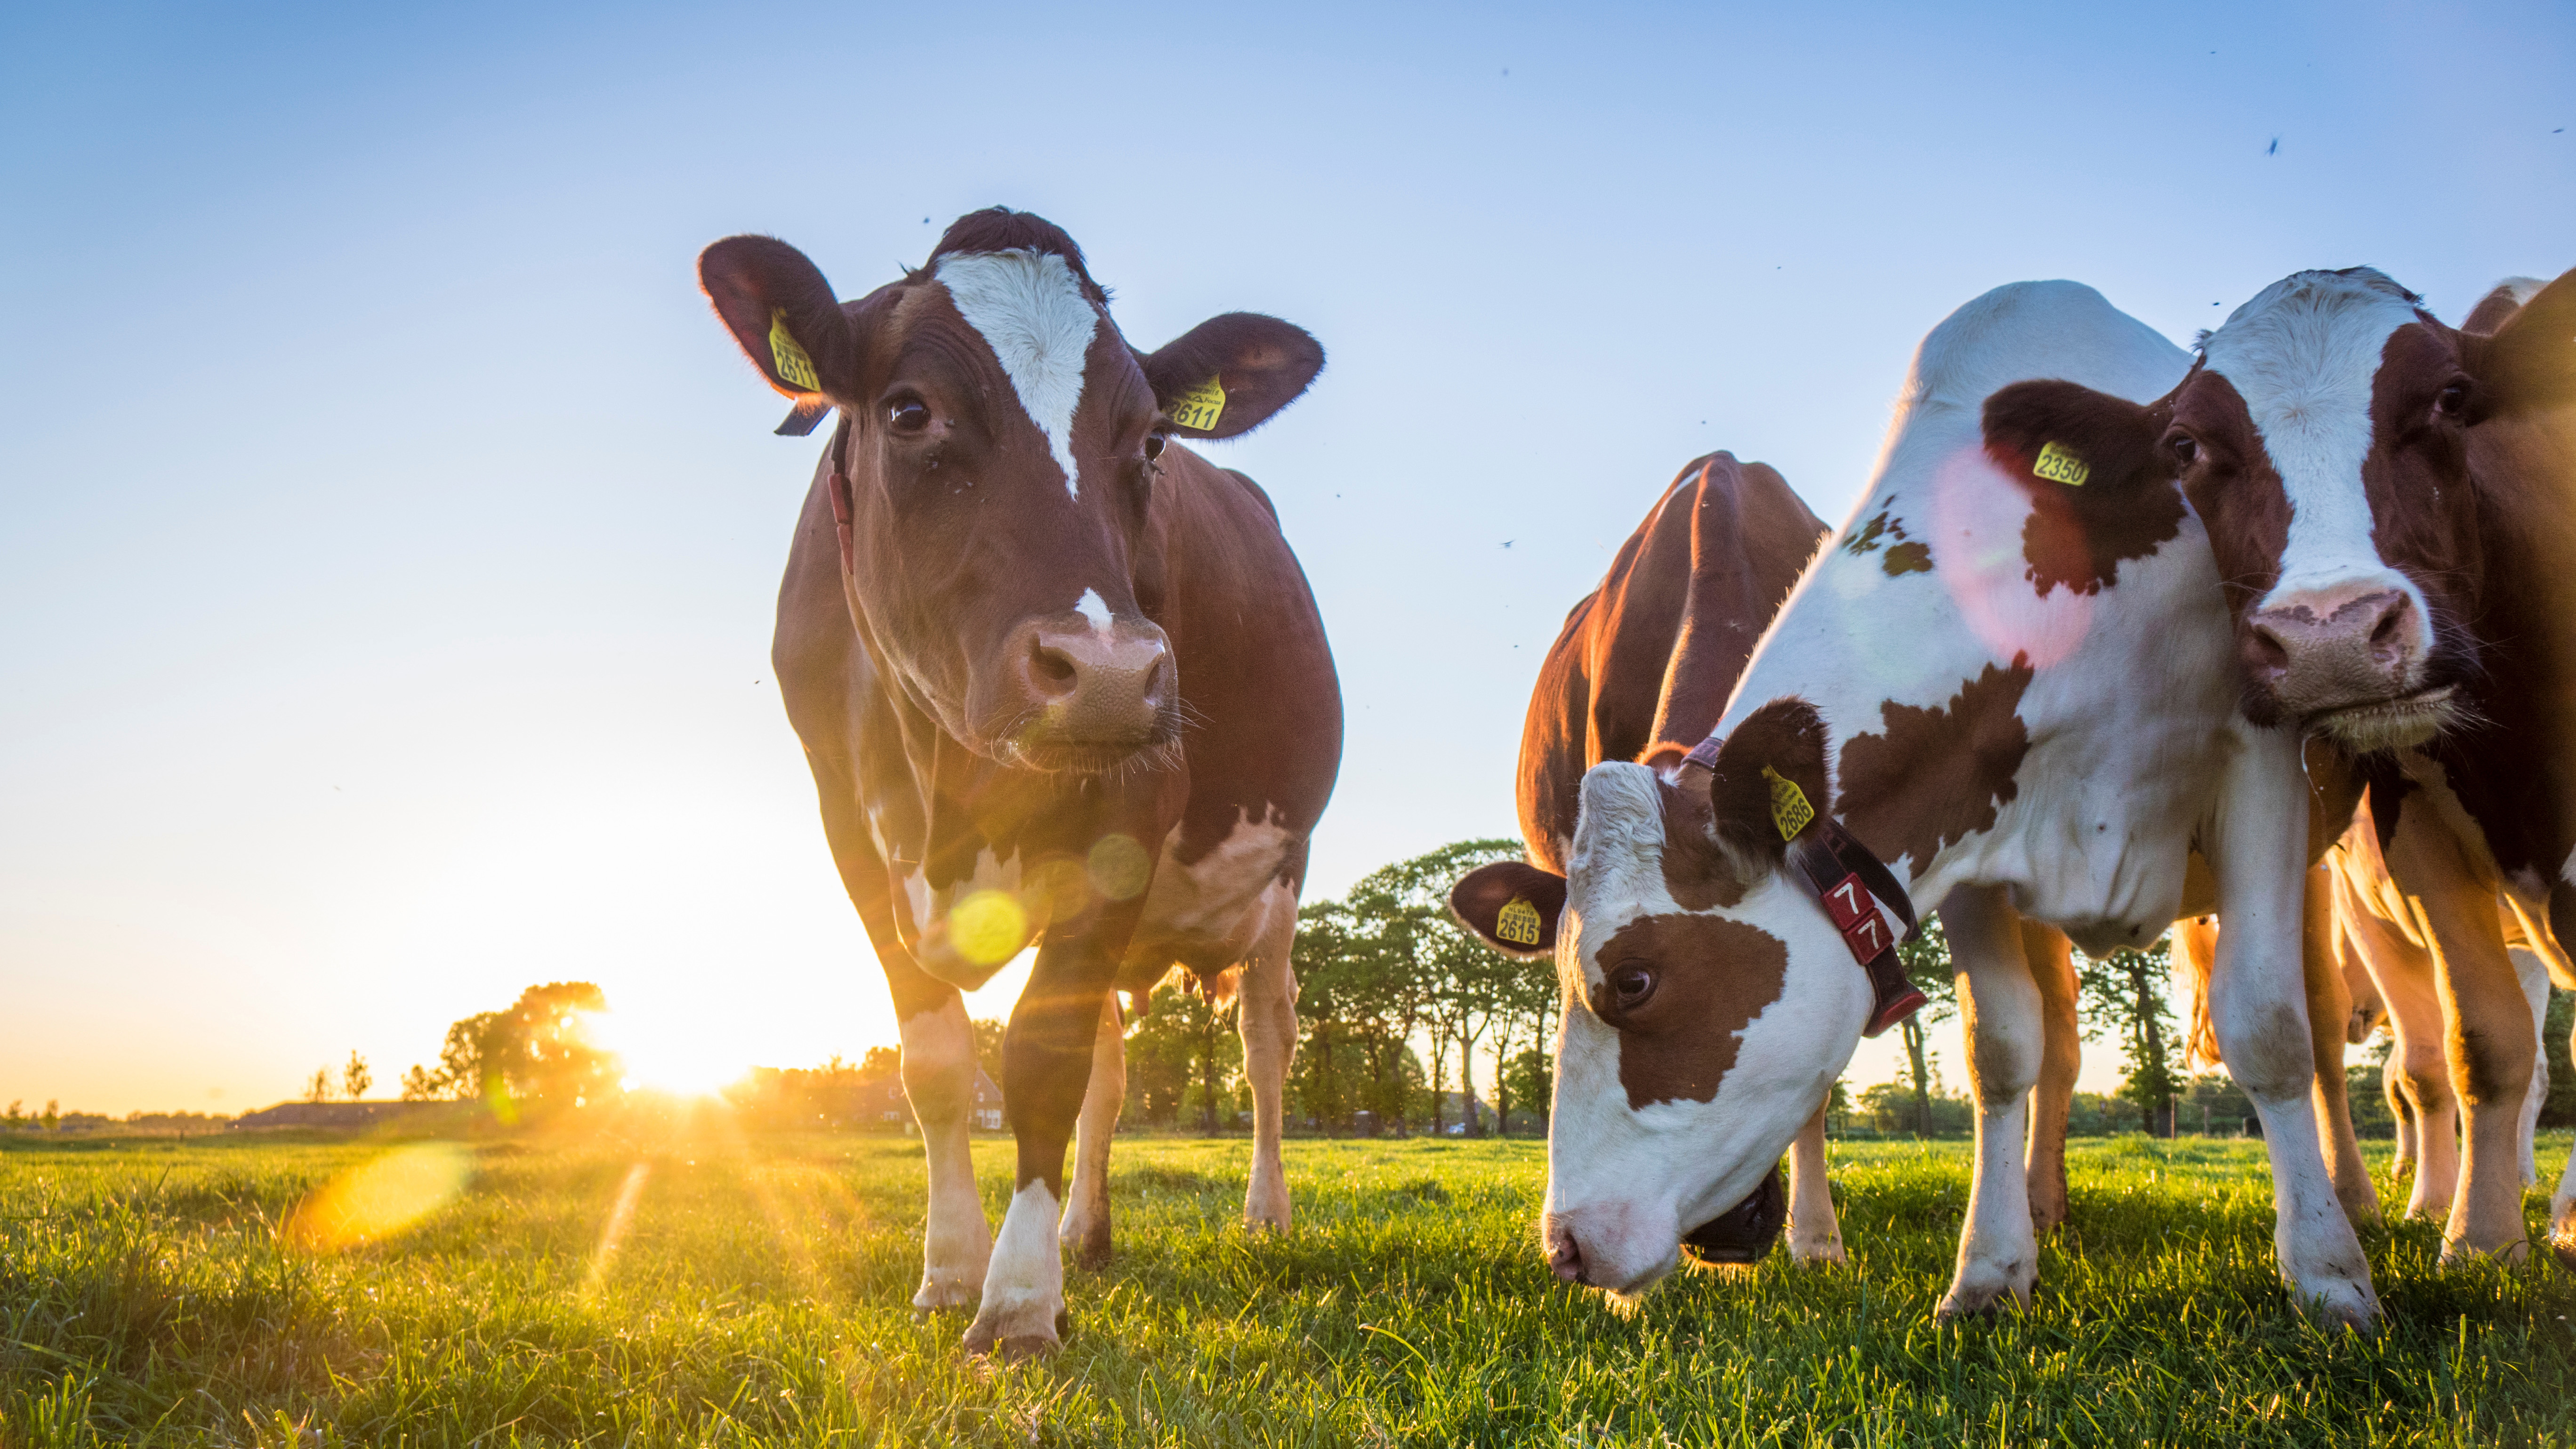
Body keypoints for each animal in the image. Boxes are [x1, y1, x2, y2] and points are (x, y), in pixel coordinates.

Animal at [697, 209, 1341, 1356]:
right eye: (910, 409)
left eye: (1154, 440)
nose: (1111, 672)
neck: (948, 777)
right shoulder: (848, 831)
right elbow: (939, 1064)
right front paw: (951, 1271)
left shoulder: (1135, 807)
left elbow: (1042, 1058)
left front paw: (1018, 1304)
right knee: (1115, 1067)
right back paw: (1088, 1230)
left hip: (1279, 875)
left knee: (1266, 1043)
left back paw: (1264, 1216)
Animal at [1453, 280, 2383, 1326]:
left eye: (1636, 980)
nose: (1566, 1246)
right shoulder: (1972, 830)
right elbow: (2003, 1049)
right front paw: (1988, 1271)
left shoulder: (2259, 759)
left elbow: (2267, 1024)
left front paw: (2329, 1276)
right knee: (2061, 1041)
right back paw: (2042, 1205)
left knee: (2320, 1016)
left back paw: (2364, 1200)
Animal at [1992, 266, 2576, 1262]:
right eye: (2184, 445)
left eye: (2450, 397)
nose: (2329, 636)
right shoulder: (2419, 832)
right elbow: (2479, 1046)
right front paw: (2481, 1238)